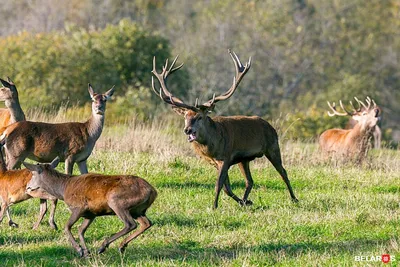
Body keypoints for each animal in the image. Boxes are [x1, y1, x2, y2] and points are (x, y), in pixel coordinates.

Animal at [23, 158, 158, 258]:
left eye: (33, 174)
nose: (27, 186)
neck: (63, 190)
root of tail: (152, 191)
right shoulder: (91, 214)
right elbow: (81, 230)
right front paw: (86, 252)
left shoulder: (79, 207)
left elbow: (67, 227)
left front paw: (79, 250)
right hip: (138, 210)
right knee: (146, 223)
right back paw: (121, 246)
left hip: (117, 202)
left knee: (130, 224)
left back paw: (103, 246)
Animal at [152, 50, 298, 209]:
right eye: (185, 116)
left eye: (199, 117)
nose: (188, 130)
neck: (211, 148)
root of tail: (271, 127)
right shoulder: (216, 162)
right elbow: (227, 188)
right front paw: (243, 202)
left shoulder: (226, 157)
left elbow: (218, 185)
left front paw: (214, 206)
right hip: (244, 159)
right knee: (250, 181)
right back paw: (246, 201)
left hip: (273, 147)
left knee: (283, 173)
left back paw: (294, 198)